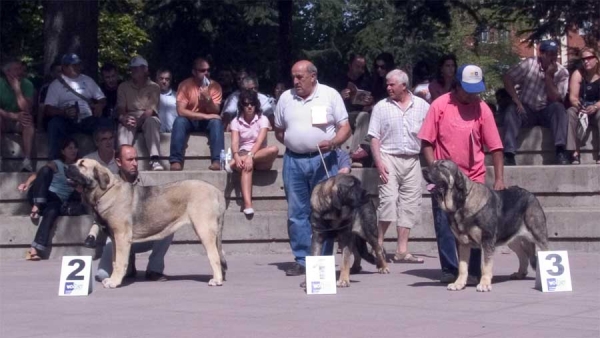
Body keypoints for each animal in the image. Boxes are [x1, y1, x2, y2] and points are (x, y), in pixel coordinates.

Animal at [64, 158, 226, 288]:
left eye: (82, 164)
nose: (66, 167)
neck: (106, 191)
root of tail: (216, 191)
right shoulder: (116, 239)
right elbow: (115, 261)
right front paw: (113, 279)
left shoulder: (121, 236)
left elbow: (120, 262)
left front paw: (114, 282)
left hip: (204, 230)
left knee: (214, 256)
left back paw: (217, 280)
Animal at [422, 160, 548, 292]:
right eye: (432, 164)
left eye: (442, 166)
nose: (423, 170)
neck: (461, 202)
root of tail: (531, 195)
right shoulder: (463, 243)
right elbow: (462, 267)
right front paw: (459, 284)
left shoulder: (487, 241)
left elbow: (486, 265)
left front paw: (484, 284)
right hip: (513, 240)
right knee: (522, 255)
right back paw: (520, 274)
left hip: (538, 235)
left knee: (544, 250)